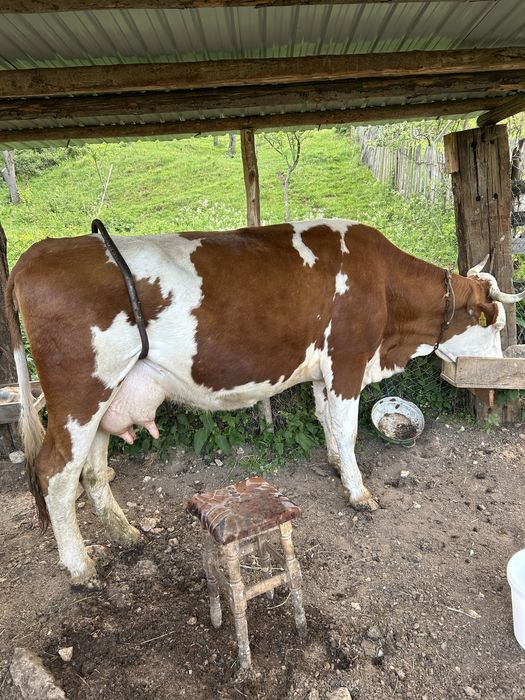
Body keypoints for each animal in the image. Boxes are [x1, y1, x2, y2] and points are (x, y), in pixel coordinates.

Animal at [5, 218, 525, 588]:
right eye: (496, 325)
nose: (495, 378)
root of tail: (38, 252)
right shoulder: (347, 360)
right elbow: (348, 428)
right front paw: (358, 493)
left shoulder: (323, 368)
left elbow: (326, 420)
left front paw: (335, 465)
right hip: (78, 393)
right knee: (55, 473)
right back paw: (79, 567)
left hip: (106, 395)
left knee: (92, 469)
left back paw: (125, 534)